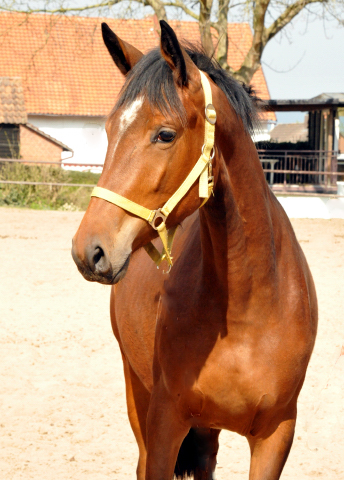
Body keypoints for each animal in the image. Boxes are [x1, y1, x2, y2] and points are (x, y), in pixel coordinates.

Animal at [72, 21, 318, 480]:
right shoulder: (165, 423)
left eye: (165, 134)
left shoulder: (276, 435)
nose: (88, 250)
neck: (248, 310)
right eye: (110, 131)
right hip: (138, 393)